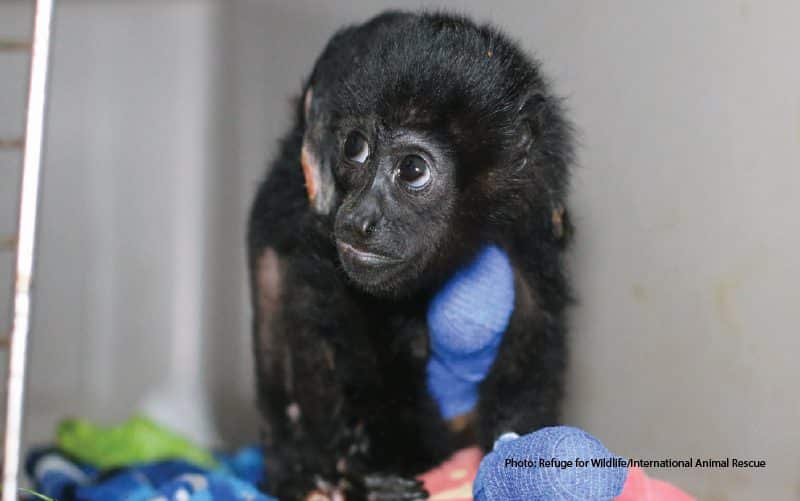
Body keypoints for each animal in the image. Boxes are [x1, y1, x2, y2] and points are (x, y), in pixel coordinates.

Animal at [247, 8, 572, 500]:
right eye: (355, 147)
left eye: (413, 170)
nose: (358, 218)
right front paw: (358, 468)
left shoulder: (534, 207)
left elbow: (535, 321)